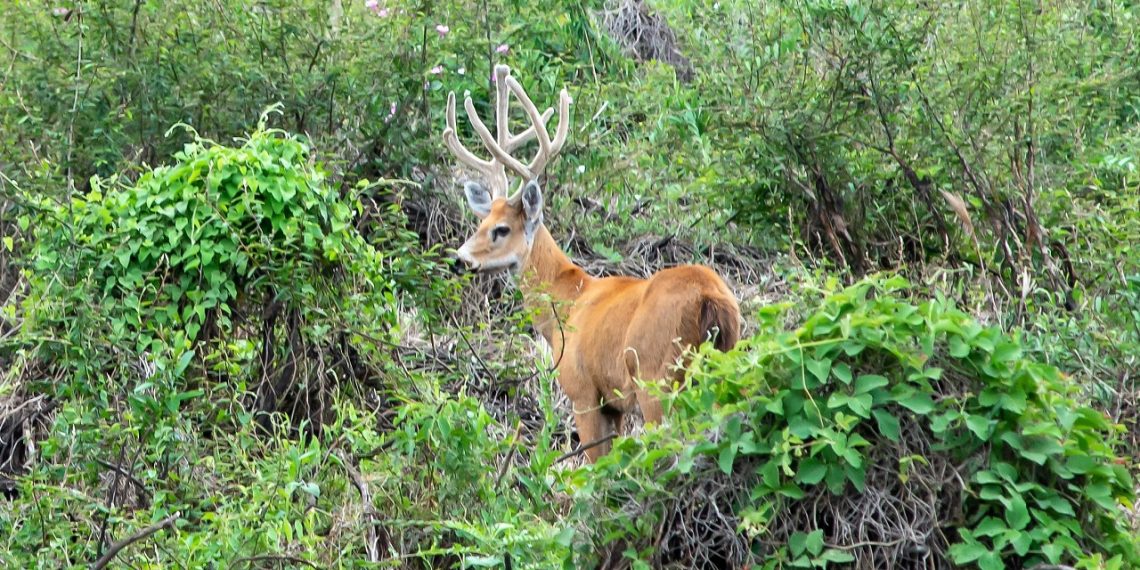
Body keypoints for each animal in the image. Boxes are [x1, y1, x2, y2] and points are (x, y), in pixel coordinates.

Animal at [442, 64, 741, 463]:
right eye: (480, 222)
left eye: (501, 229)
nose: (460, 259)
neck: (567, 301)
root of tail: (711, 299)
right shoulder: (614, 403)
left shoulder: (583, 390)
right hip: (725, 356)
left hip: (658, 376)